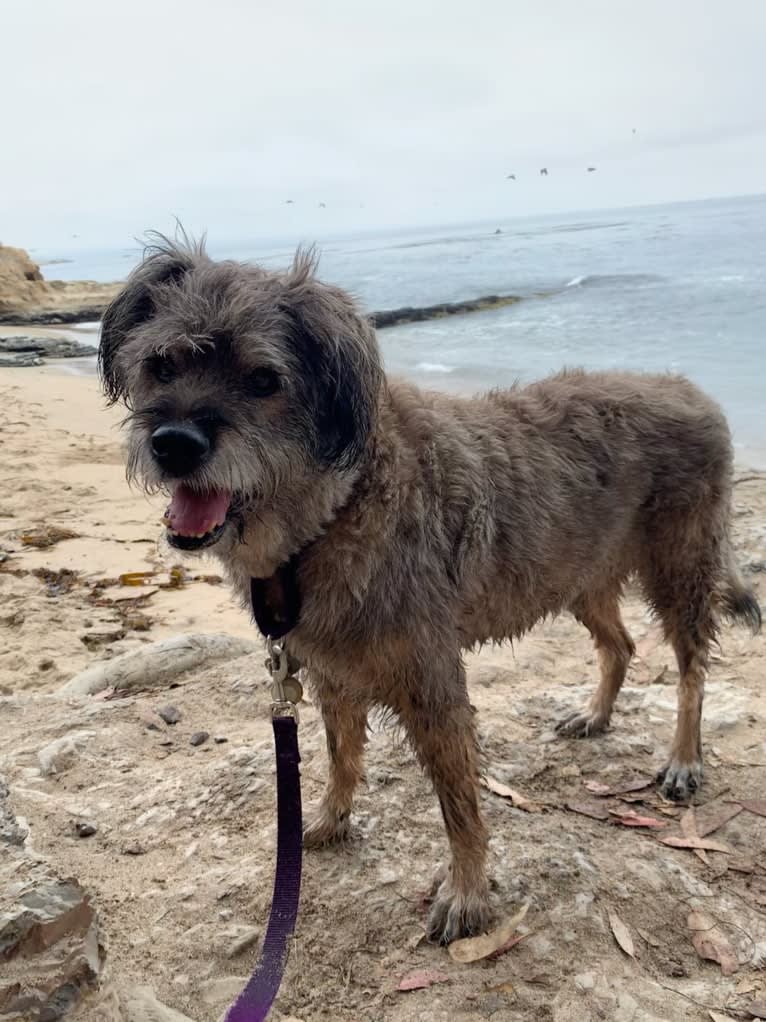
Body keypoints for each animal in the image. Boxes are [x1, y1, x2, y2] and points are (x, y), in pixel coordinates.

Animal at [100, 237, 763, 940]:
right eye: (162, 365)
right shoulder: (333, 674)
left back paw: (684, 758)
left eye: (263, 380)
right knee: (621, 644)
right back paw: (596, 714)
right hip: (580, 579)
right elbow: (340, 756)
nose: (174, 444)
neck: (338, 507)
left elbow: (458, 804)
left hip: (681, 568)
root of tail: (690, 388)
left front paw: (467, 892)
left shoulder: (431, 687)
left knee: (691, 669)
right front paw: (330, 820)